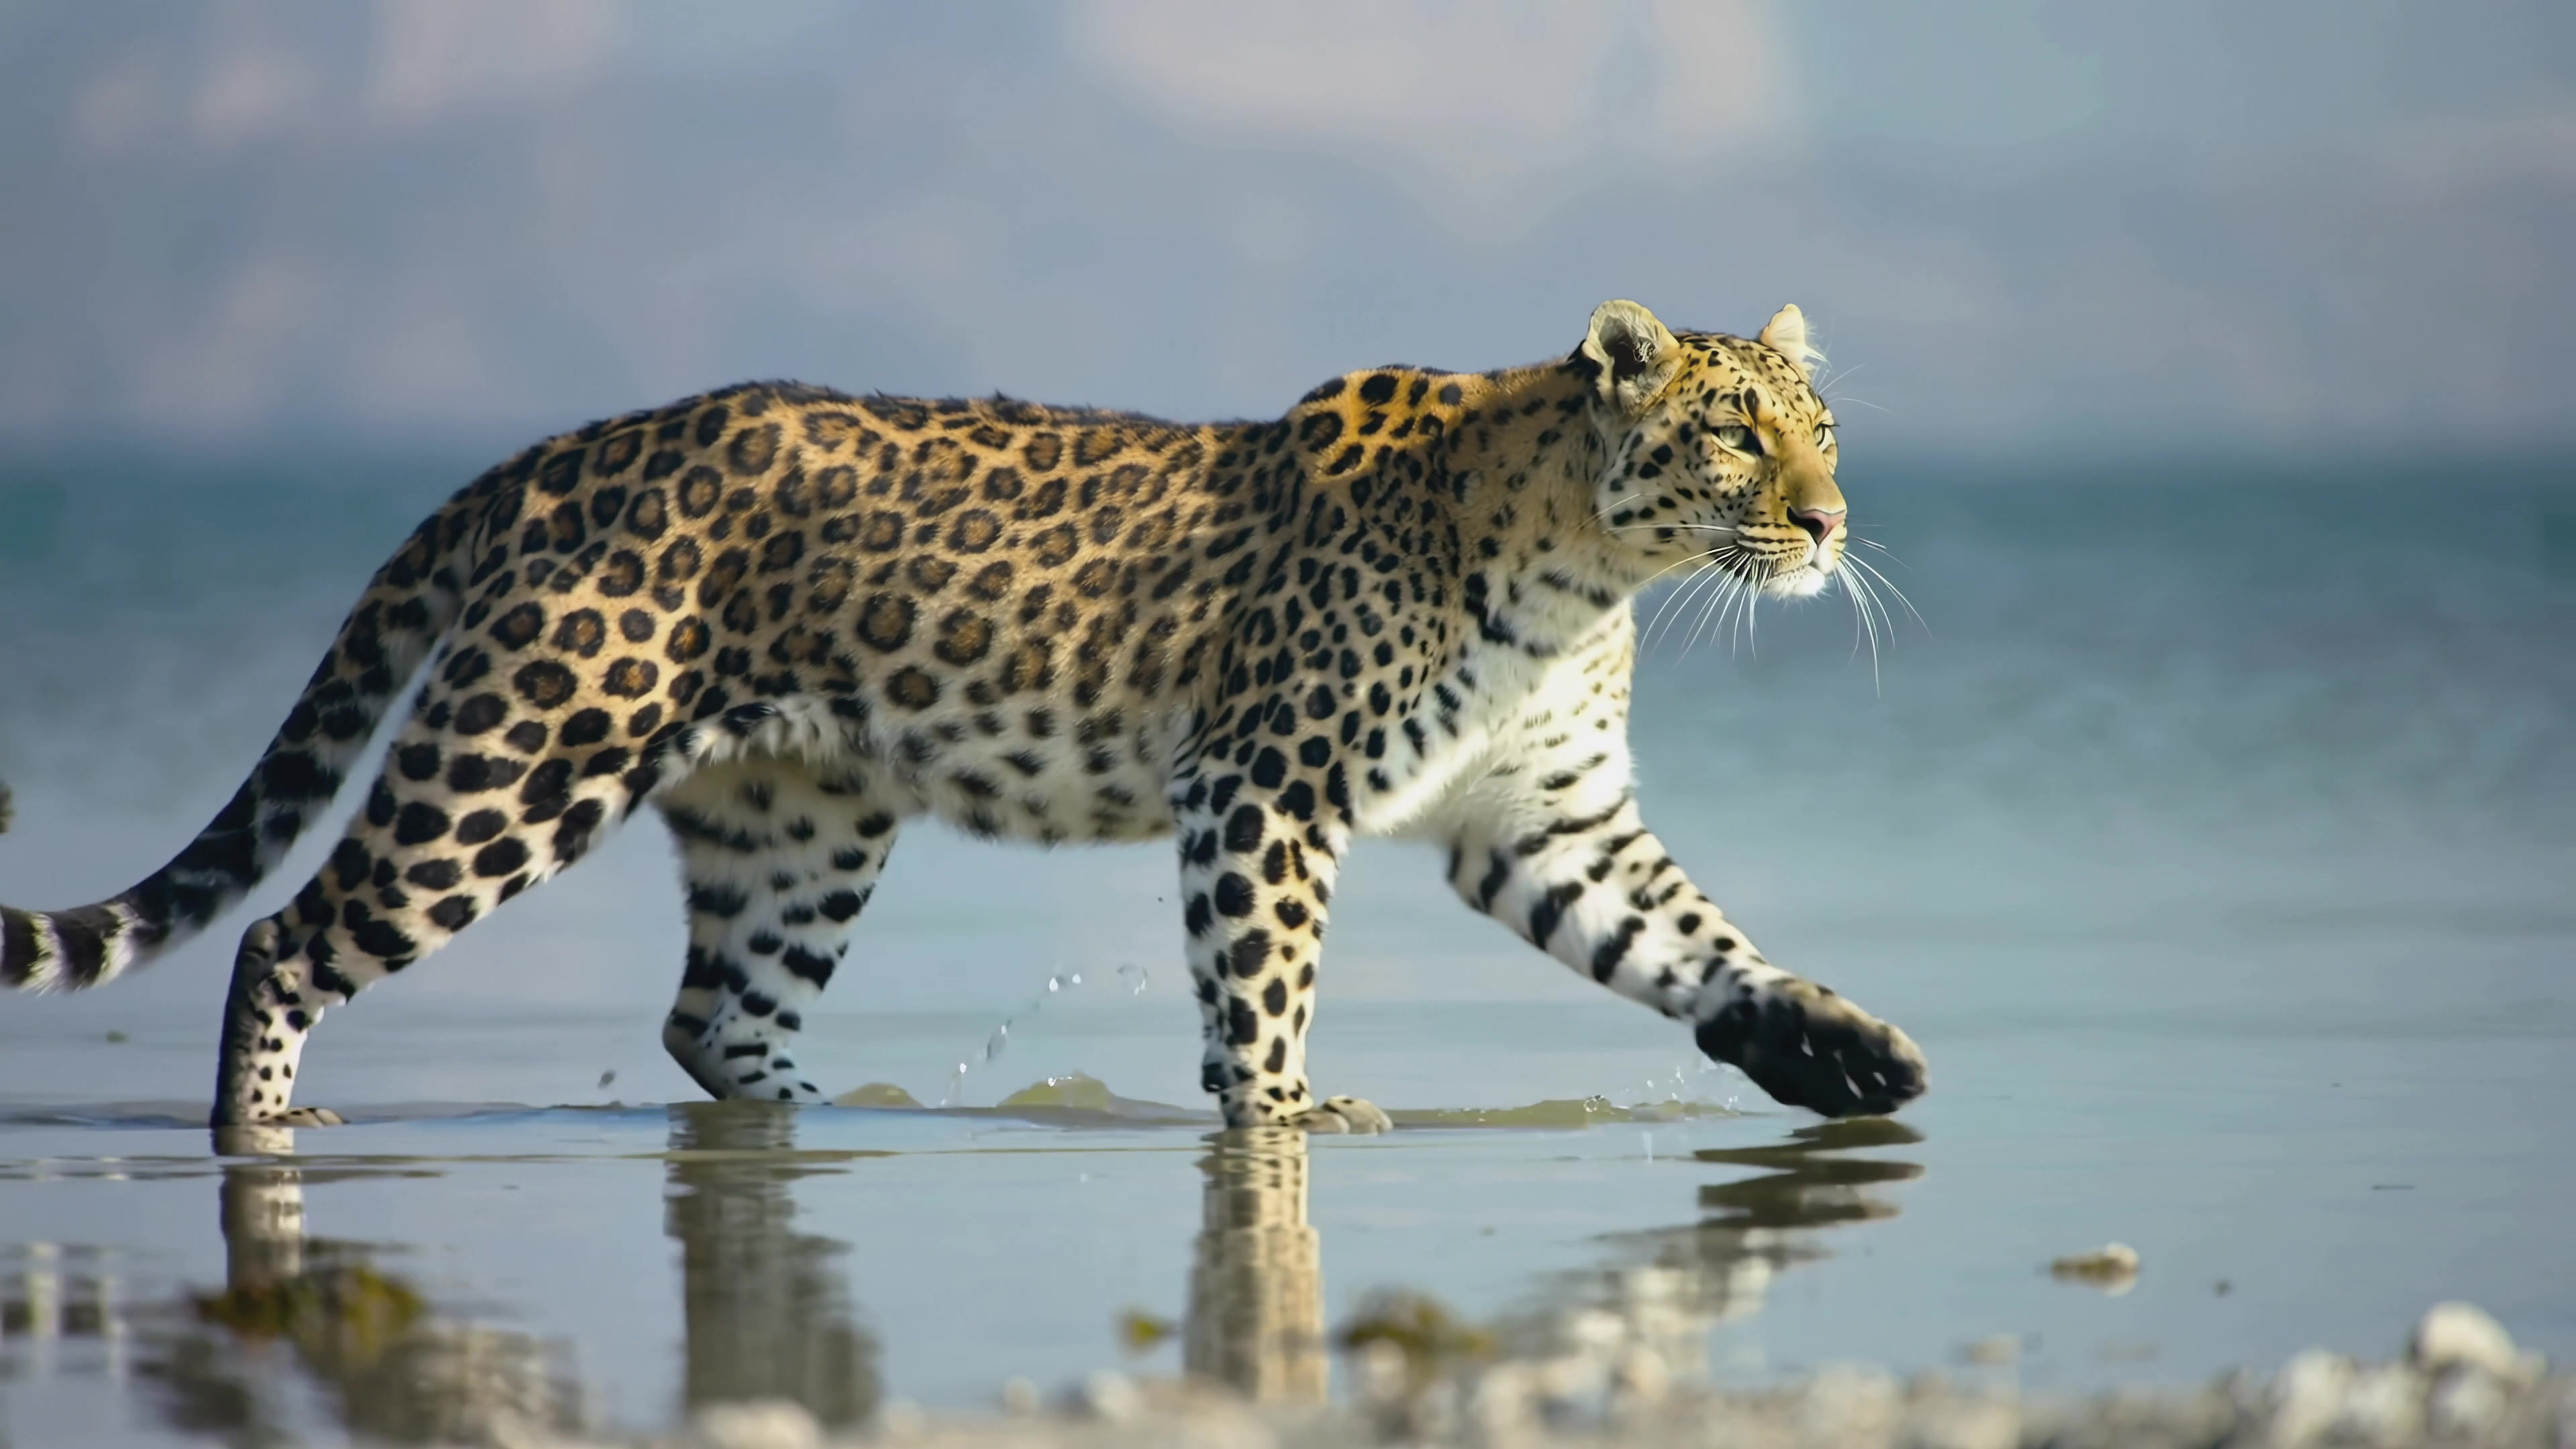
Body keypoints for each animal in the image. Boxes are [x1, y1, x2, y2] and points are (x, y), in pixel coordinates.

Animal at [0, 300, 1928, 1132]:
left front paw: (1835, 1050)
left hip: (802, 820)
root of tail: (564, 449)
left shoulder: (1546, 819)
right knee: (290, 935)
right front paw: (1287, 1127)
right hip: (524, 755)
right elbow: (1266, 1000)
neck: (1589, 577)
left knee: (717, 1018)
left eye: (1825, 425)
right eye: (1739, 432)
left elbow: (1690, 939)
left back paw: (840, 1119)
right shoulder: (1261, 789)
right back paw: (264, 1134)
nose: (1834, 521)